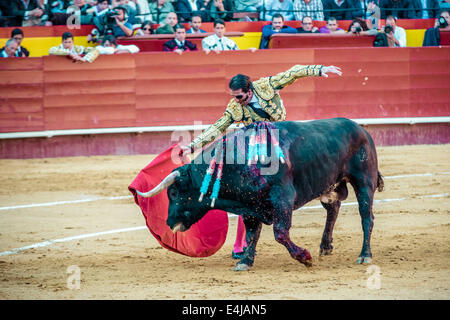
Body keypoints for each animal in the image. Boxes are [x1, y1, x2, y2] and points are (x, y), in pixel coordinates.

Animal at [136, 119, 384, 272]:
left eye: (174, 192)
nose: (169, 223)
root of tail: (361, 129)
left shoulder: (282, 199)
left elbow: (280, 233)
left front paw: (304, 257)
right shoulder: (250, 206)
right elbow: (251, 234)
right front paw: (245, 261)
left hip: (364, 180)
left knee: (367, 217)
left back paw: (365, 255)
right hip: (329, 185)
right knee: (333, 208)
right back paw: (325, 246)